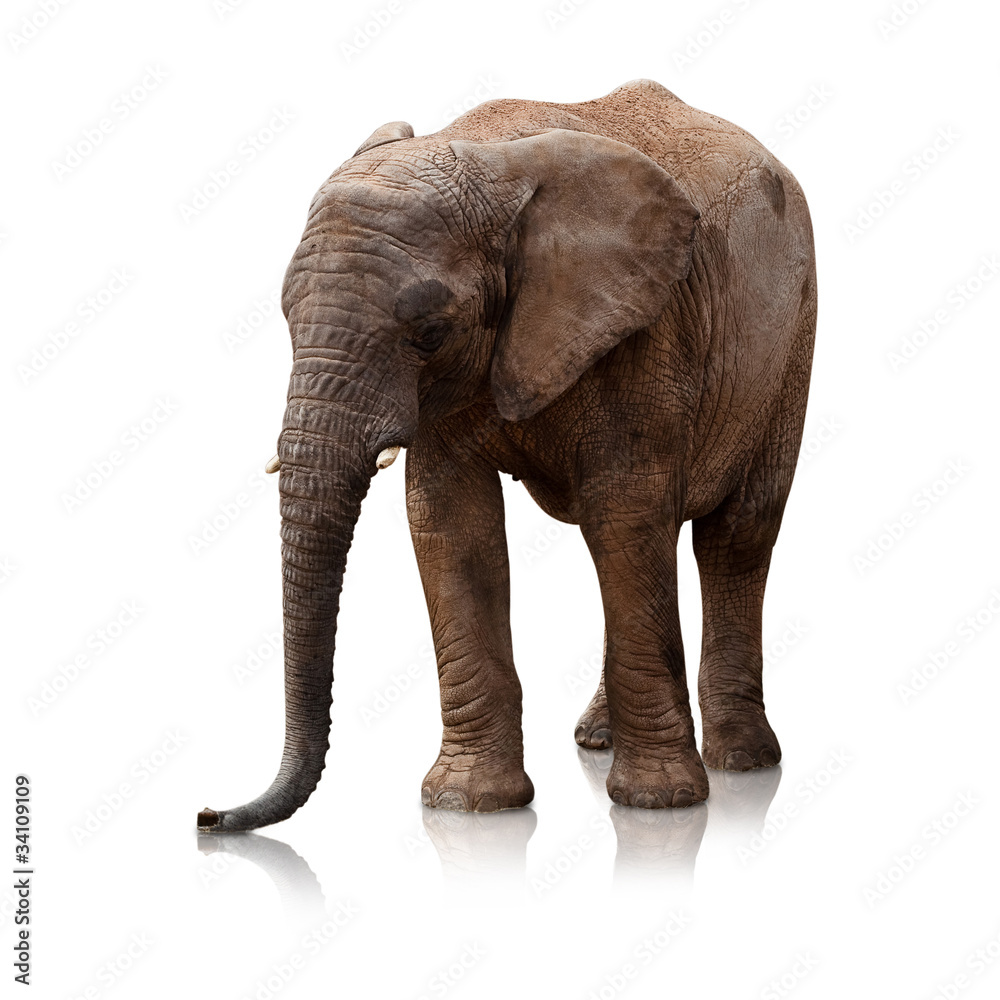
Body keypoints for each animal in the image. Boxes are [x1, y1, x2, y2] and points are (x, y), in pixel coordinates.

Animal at [197, 78, 816, 832]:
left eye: (430, 332)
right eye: (286, 317)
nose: (208, 815)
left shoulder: (649, 330)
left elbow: (626, 513)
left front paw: (660, 804)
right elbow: (452, 525)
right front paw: (469, 806)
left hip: (791, 337)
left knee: (733, 535)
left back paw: (742, 762)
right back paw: (597, 741)